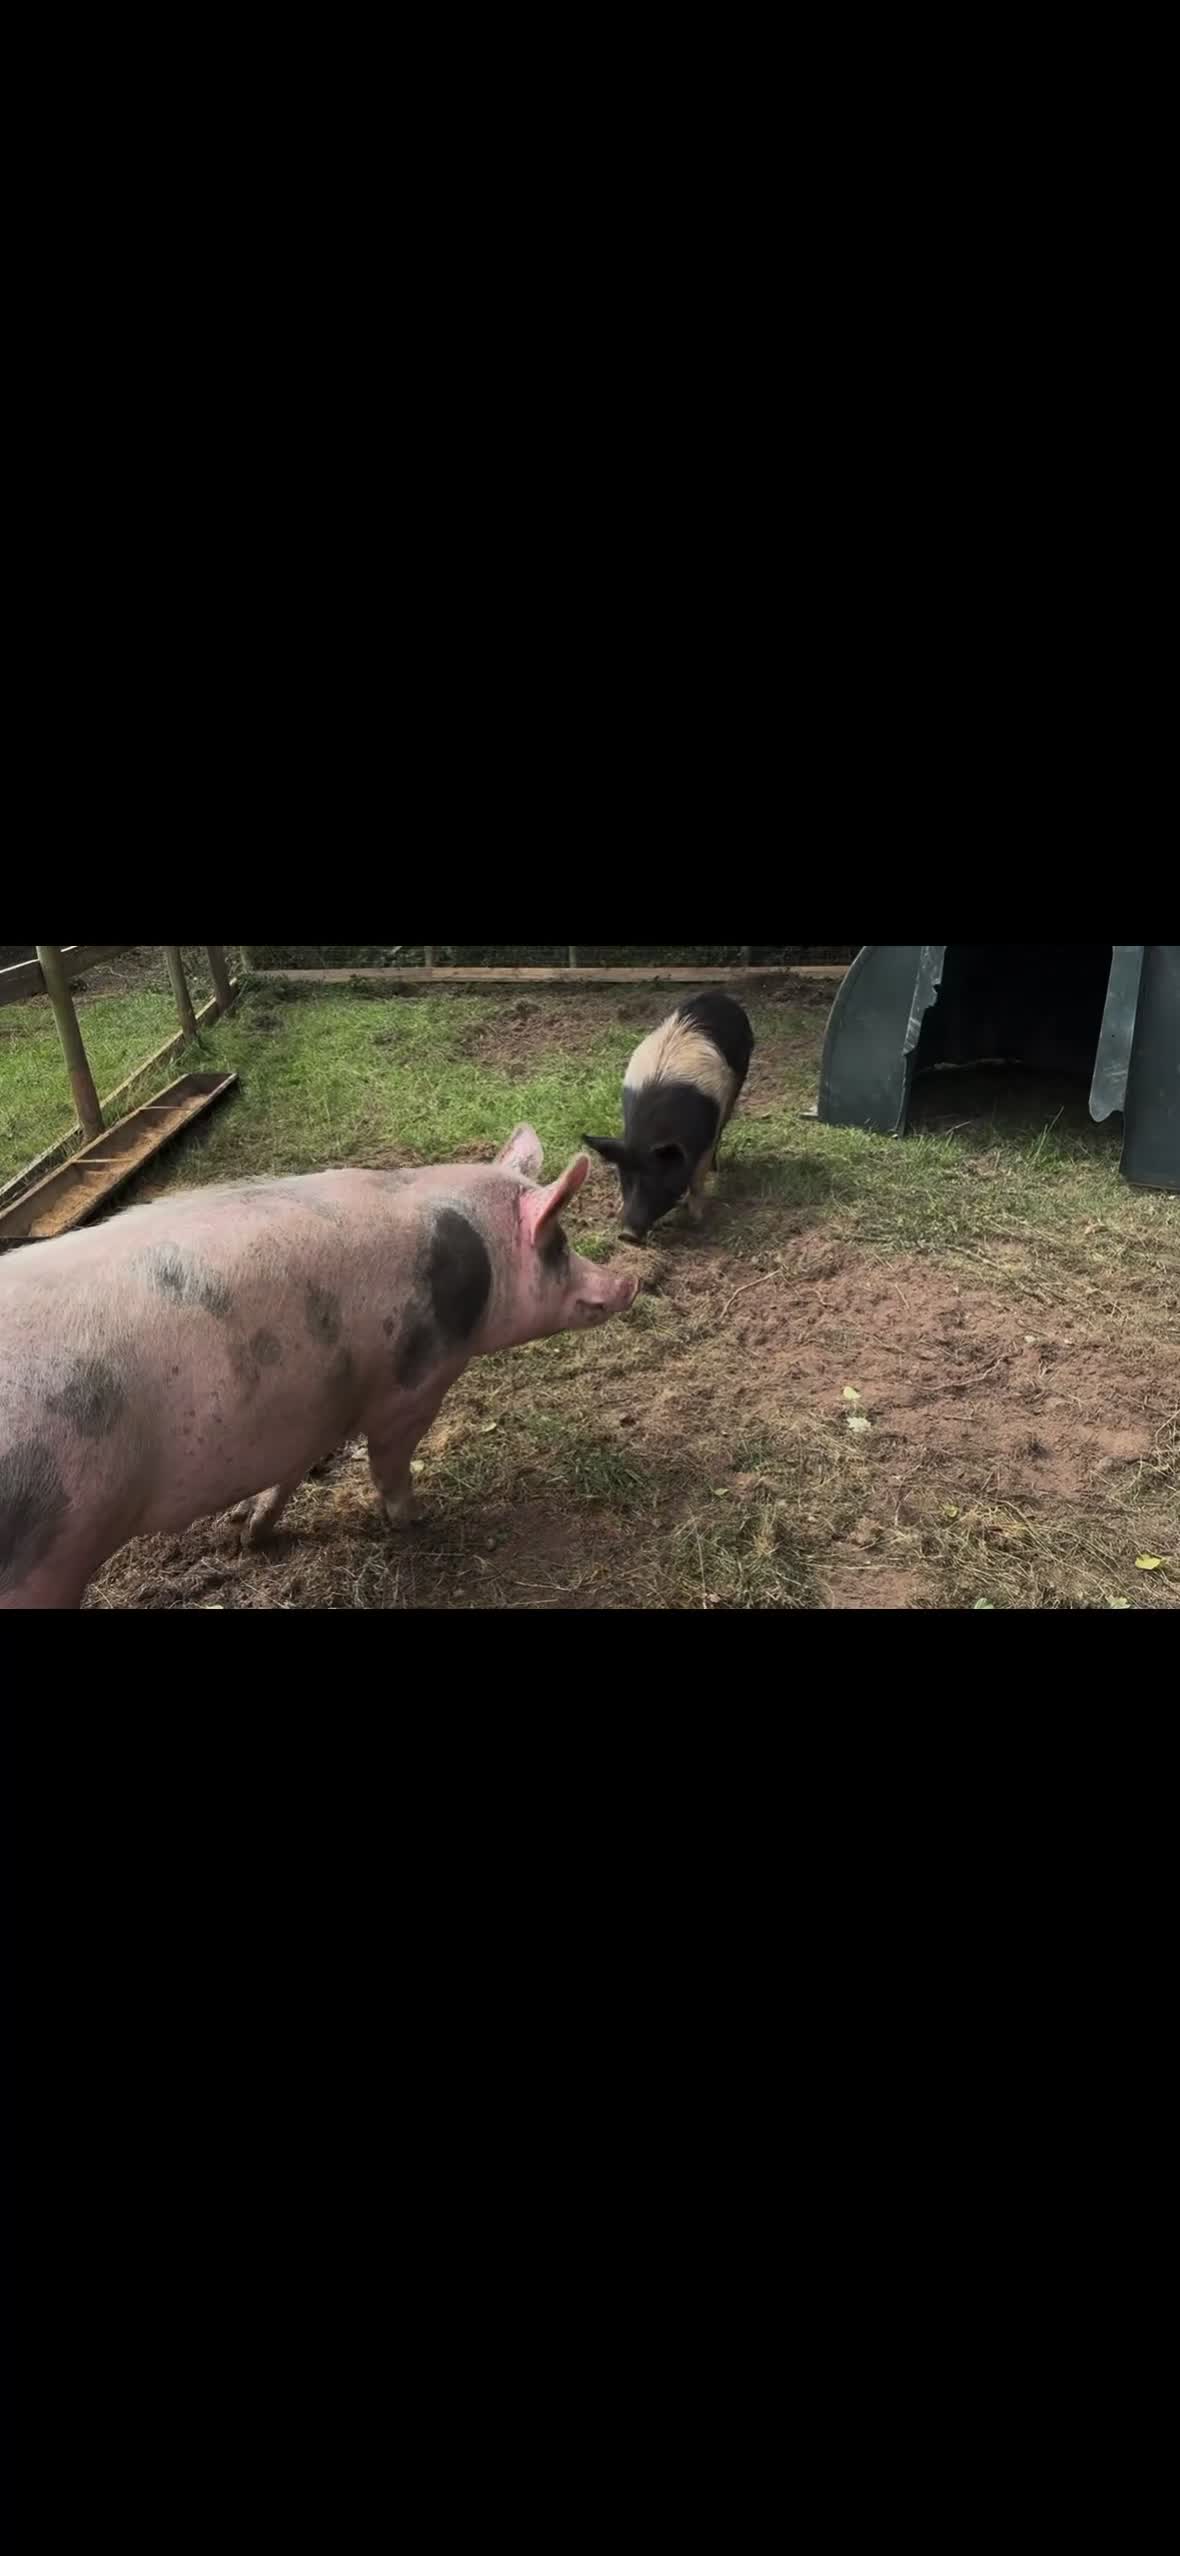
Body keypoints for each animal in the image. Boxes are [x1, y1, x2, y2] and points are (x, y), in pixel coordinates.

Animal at [0, 1125, 636, 1609]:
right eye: (559, 1244)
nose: (629, 1281)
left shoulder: (311, 1408)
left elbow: (292, 1471)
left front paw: (249, 1534)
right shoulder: (413, 1388)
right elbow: (389, 1463)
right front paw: (418, 1518)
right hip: (45, 1559)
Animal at [583, 991, 754, 1242]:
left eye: (658, 1178)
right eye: (625, 1179)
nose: (627, 1234)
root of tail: (718, 995)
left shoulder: (706, 1138)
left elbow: (697, 1177)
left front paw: (697, 1220)